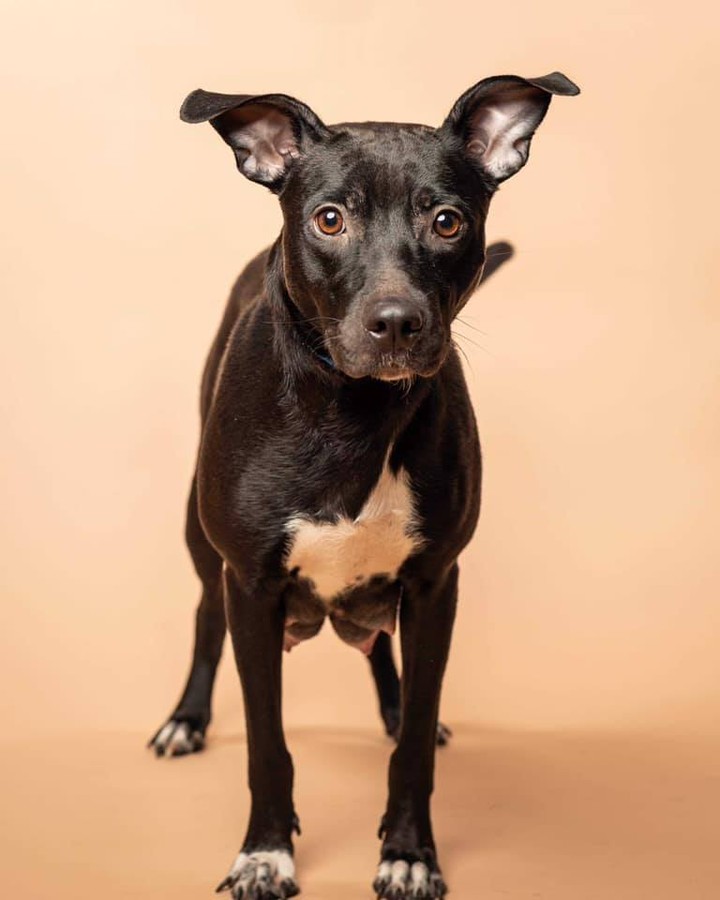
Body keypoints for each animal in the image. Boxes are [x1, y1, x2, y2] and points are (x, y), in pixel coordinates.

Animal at [150, 72, 580, 900]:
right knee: (203, 617)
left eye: (447, 221)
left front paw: (409, 851)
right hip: (199, 539)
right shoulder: (250, 584)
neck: (354, 415)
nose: (397, 322)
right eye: (329, 219)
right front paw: (265, 852)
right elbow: (266, 740)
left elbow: (410, 746)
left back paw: (394, 704)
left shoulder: (436, 582)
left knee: (385, 653)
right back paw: (187, 718)